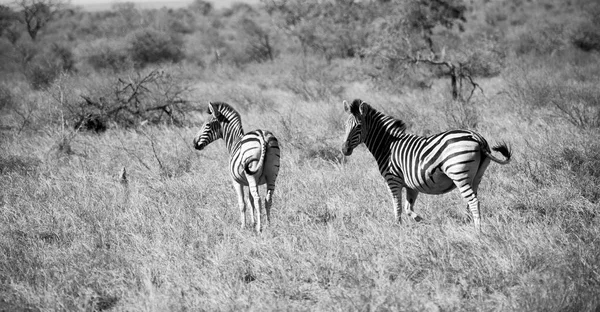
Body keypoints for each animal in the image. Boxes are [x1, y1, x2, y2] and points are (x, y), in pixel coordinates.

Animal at [192, 101, 282, 233]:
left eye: (207, 125)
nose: (194, 143)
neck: (234, 140)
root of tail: (262, 135)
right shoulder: (249, 182)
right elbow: (250, 201)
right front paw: (253, 222)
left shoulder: (236, 181)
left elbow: (242, 203)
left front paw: (243, 226)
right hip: (272, 174)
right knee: (268, 199)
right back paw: (268, 225)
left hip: (252, 174)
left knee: (258, 199)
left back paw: (259, 229)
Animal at [342, 98, 510, 230]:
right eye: (344, 126)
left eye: (358, 126)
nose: (344, 149)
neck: (388, 145)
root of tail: (476, 137)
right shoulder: (412, 185)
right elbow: (408, 208)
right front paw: (424, 222)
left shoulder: (392, 180)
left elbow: (397, 207)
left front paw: (397, 227)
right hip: (476, 176)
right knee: (471, 201)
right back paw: (467, 223)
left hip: (459, 174)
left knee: (474, 201)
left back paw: (478, 231)